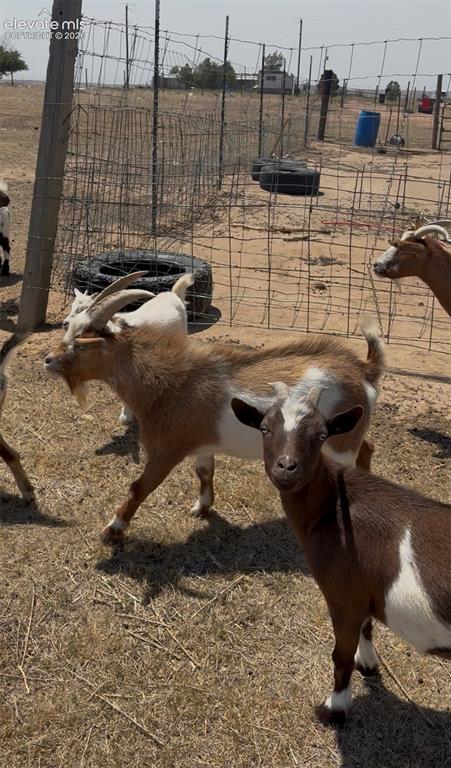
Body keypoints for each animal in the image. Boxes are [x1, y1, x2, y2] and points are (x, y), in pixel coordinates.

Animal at [44, 287, 384, 543]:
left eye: (82, 344)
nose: (48, 360)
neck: (169, 382)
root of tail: (363, 371)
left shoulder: (165, 451)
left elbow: (139, 487)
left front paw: (112, 530)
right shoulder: (203, 445)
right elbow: (204, 473)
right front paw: (202, 508)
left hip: (339, 445)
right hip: (348, 434)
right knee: (368, 447)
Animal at [231, 387, 451, 725]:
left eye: (322, 435)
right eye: (265, 428)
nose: (286, 466)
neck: (333, 507)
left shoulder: (342, 595)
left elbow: (340, 656)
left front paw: (334, 707)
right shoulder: (361, 590)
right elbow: (367, 626)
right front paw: (368, 661)